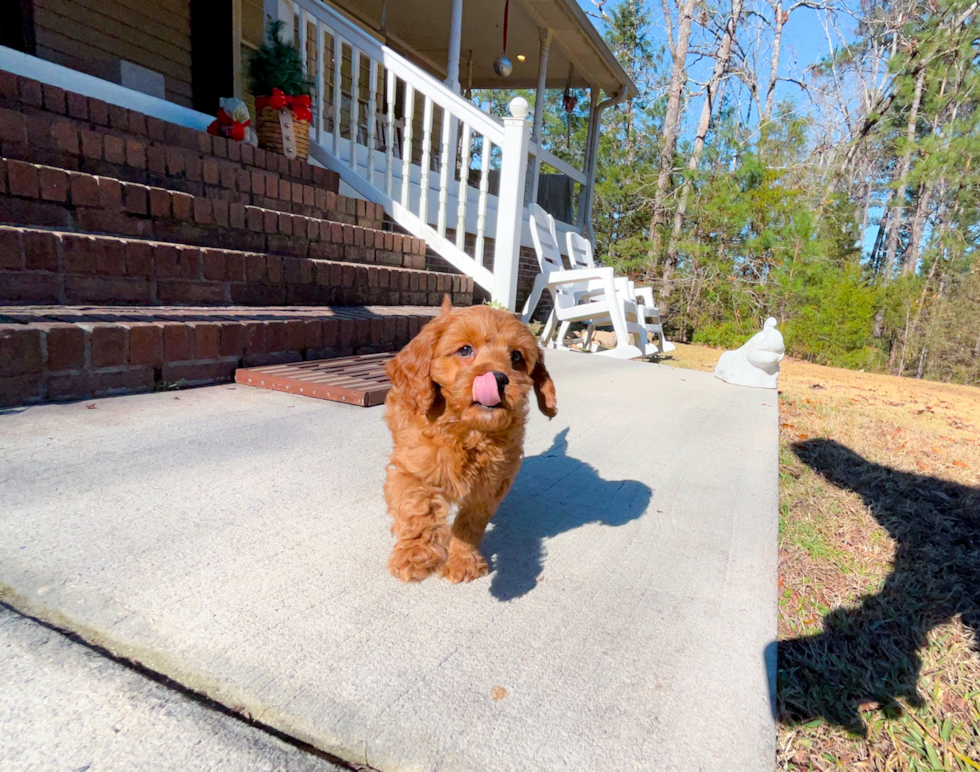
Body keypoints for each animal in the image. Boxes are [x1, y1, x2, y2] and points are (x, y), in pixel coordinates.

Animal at [380, 298, 556, 584]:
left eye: (516, 357)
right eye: (465, 350)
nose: (498, 378)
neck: (470, 431)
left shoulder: (491, 483)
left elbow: (470, 521)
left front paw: (463, 561)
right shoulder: (411, 468)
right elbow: (417, 506)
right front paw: (416, 554)